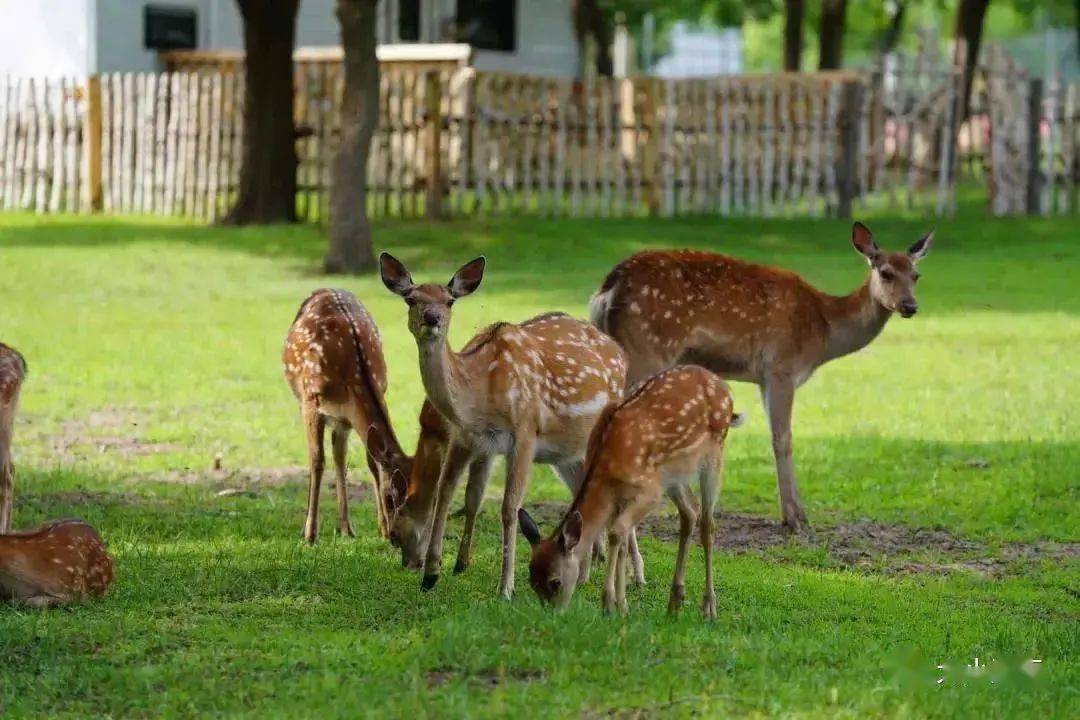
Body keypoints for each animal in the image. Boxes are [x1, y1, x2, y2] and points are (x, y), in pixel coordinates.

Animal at [283, 289, 412, 544]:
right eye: (390, 497)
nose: (397, 537)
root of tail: (324, 289)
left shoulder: (356, 411)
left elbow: (370, 462)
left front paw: (381, 529)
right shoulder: (312, 401)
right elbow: (317, 461)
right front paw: (310, 535)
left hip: (342, 421)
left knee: (340, 457)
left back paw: (346, 528)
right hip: (303, 399)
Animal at [379, 253, 641, 598]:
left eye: (450, 301)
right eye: (411, 298)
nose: (432, 318)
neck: (477, 394)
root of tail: (620, 353)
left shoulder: (525, 431)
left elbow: (509, 507)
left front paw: (505, 588)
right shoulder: (467, 439)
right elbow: (448, 494)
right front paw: (432, 574)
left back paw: (636, 578)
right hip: (569, 453)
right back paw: (585, 577)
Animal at [519, 365, 743, 618]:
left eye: (555, 582)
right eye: (531, 581)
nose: (552, 614)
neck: (608, 463)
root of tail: (723, 386)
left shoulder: (649, 491)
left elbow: (617, 533)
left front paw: (609, 604)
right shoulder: (619, 498)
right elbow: (623, 540)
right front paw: (622, 605)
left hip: (713, 454)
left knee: (708, 524)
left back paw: (709, 608)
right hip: (672, 474)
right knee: (690, 512)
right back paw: (674, 602)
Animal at [588, 222, 933, 532]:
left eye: (916, 275)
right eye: (886, 272)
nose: (910, 305)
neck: (823, 331)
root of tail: (608, 288)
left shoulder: (763, 379)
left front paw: (797, 513)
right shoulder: (782, 367)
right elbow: (783, 438)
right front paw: (794, 518)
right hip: (649, 347)